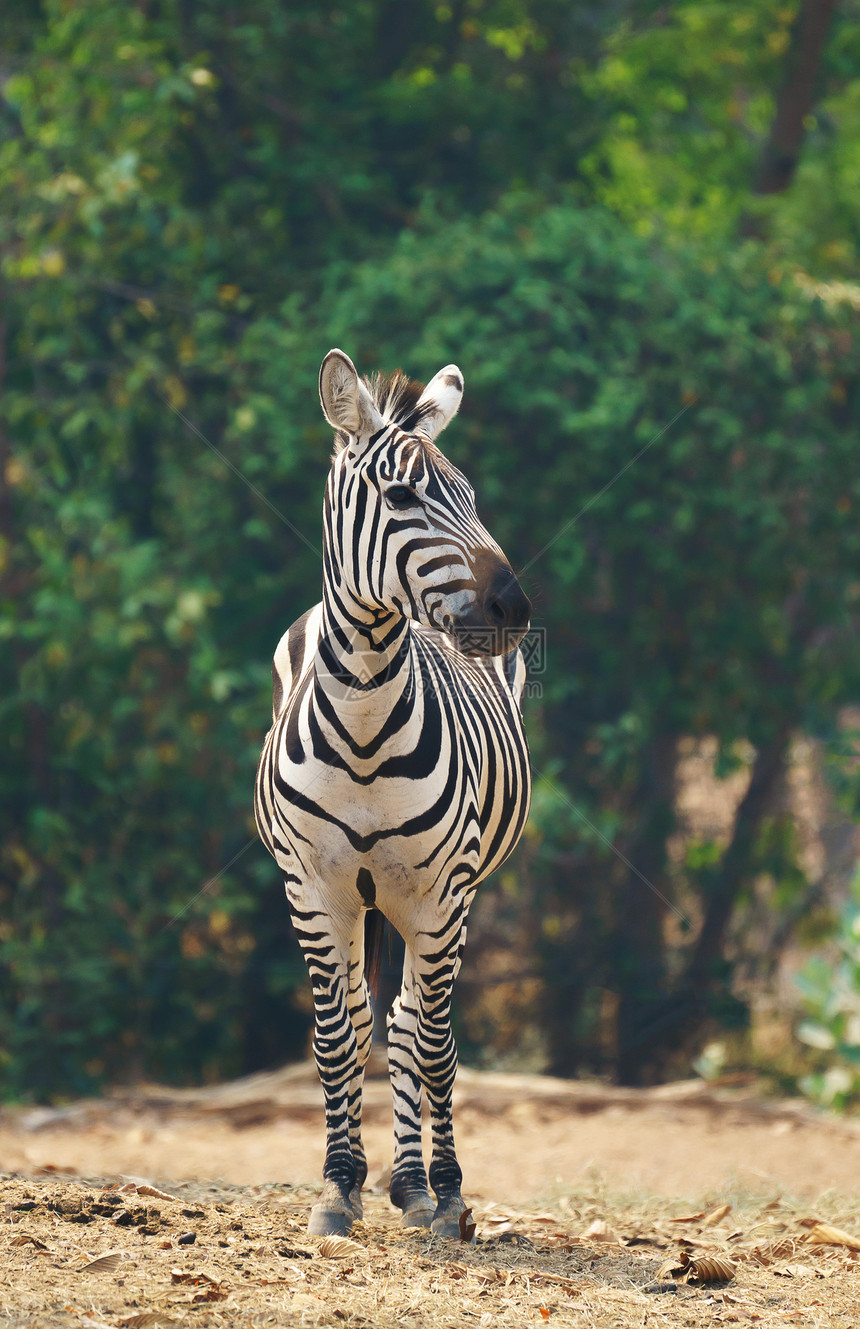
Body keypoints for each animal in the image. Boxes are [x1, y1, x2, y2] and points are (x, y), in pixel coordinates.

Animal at [255, 350, 531, 1233]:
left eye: (471, 495)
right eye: (403, 497)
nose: (515, 609)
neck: (367, 728)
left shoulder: (440, 893)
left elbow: (432, 1045)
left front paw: (445, 1192)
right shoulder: (313, 887)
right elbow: (335, 1038)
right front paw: (338, 1185)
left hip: (442, 899)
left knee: (413, 1025)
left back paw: (416, 1182)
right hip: (357, 901)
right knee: (358, 1013)